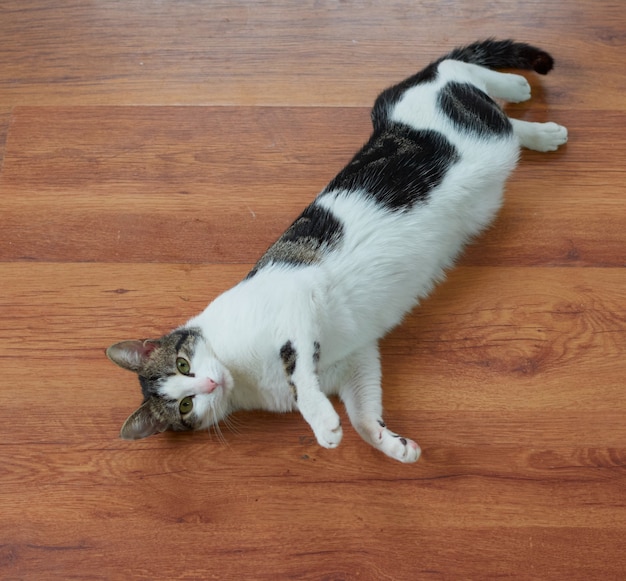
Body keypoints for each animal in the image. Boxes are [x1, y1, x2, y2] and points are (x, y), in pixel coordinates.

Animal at [106, 38, 564, 462]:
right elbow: (362, 412)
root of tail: (389, 109)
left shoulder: (294, 300)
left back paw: (515, 88)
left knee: (457, 73)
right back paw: (540, 131)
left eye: (184, 365)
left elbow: (296, 370)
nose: (209, 383)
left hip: (479, 134)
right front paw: (391, 443)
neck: (241, 373)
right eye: (185, 404)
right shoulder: (353, 358)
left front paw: (321, 421)